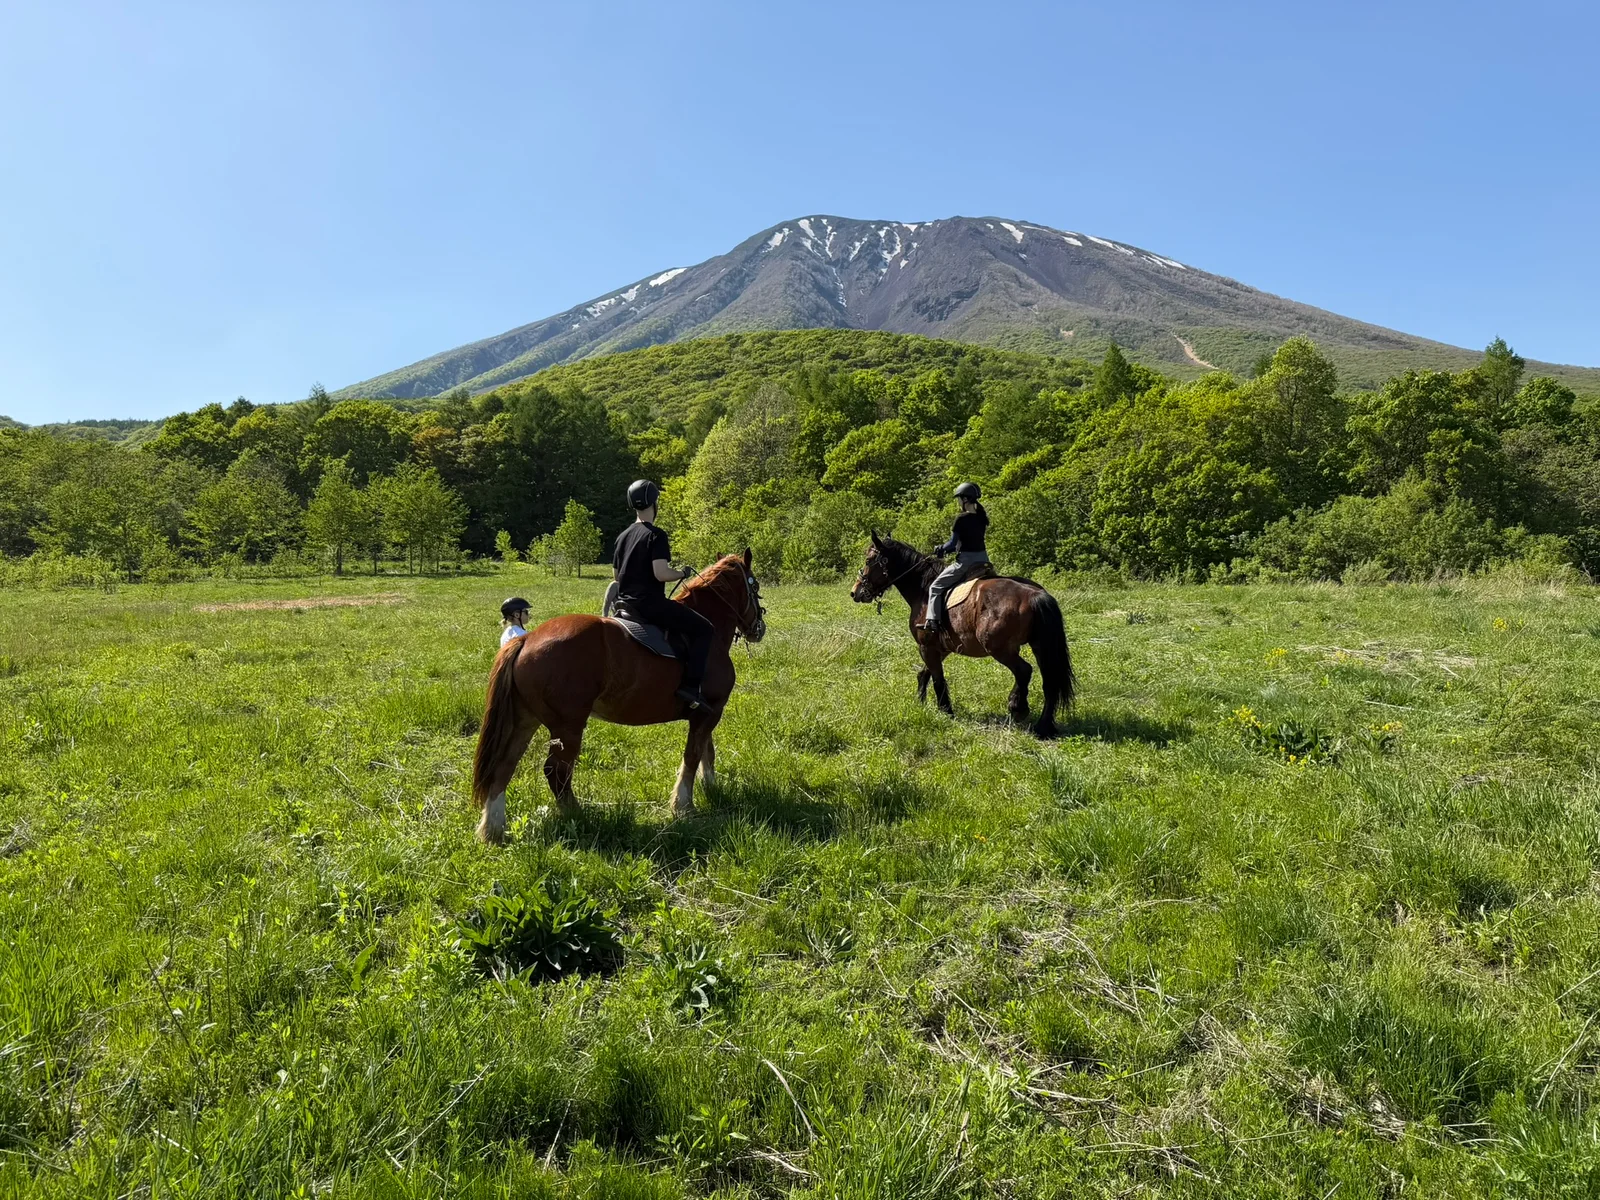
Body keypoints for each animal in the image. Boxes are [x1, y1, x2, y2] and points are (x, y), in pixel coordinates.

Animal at [471, 550, 766, 842]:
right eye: (755, 586)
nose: (759, 628)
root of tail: (526, 640)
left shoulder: (705, 712)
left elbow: (706, 751)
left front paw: (710, 788)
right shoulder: (711, 710)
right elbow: (693, 756)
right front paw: (684, 805)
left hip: (524, 721)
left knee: (503, 766)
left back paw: (492, 828)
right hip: (567, 726)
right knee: (556, 771)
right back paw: (577, 816)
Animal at [850, 533, 1074, 736]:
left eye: (869, 560)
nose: (855, 592)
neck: (924, 590)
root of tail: (1036, 594)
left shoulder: (926, 646)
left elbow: (938, 679)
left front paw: (946, 711)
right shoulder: (941, 648)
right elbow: (925, 674)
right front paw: (921, 703)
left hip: (1001, 649)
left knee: (1024, 671)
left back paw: (1017, 707)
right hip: (1040, 648)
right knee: (1050, 682)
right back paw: (1043, 726)